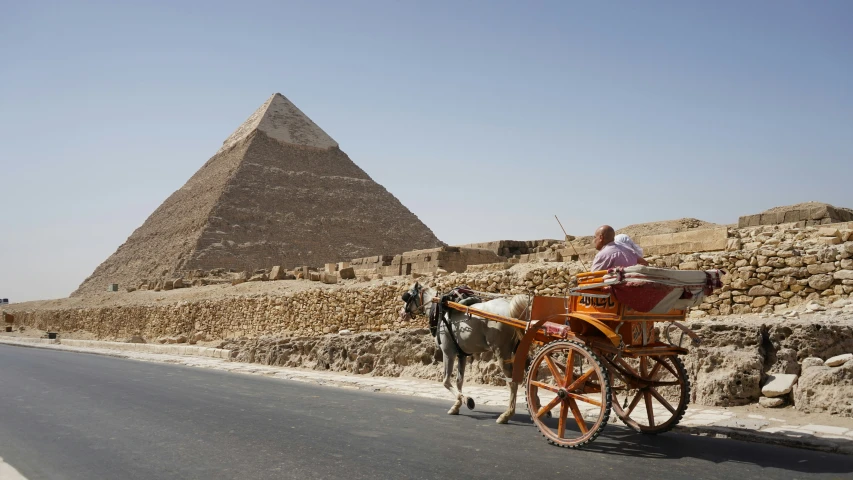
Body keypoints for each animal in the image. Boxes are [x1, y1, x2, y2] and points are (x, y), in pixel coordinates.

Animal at [398, 284, 528, 422]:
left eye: (407, 296)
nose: (402, 313)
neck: (440, 309)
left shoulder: (448, 352)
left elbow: (446, 381)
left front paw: (467, 400)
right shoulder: (462, 354)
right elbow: (459, 381)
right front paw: (456, 405)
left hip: (501, 352)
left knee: (513, 382)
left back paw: (507, 414)